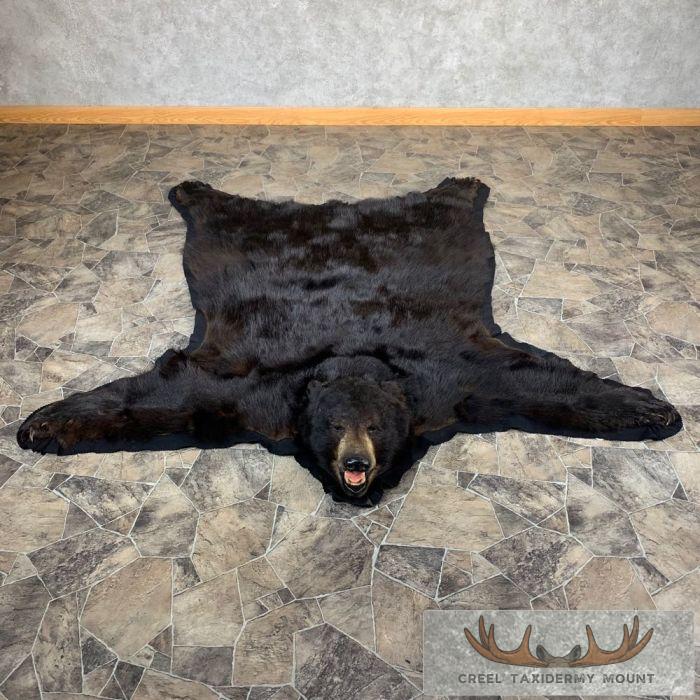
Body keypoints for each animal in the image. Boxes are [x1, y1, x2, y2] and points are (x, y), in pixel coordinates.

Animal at [17, 177, 682, 505]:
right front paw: (44, 422)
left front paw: (653, 409)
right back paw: (190, 189)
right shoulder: (251, 393)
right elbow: (165, 396)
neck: (353, 361)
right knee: (219, 208)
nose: (356, 463)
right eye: (335, 426)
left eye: (376, 428)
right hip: (234, 232)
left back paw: (465, 183)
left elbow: (538, 386)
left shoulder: (451, 383)